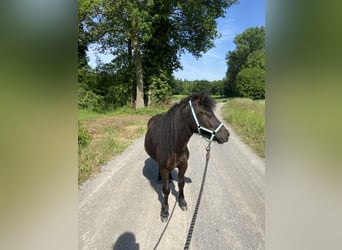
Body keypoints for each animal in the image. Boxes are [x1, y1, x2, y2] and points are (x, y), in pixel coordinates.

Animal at [144, 93, 230, 221]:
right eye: (205, 113)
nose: (226, 134)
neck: (174, 146)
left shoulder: (184, 165)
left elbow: (181, 183)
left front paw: (182, 202)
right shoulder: (164, 168)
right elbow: (166, 189)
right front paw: (164, 211)